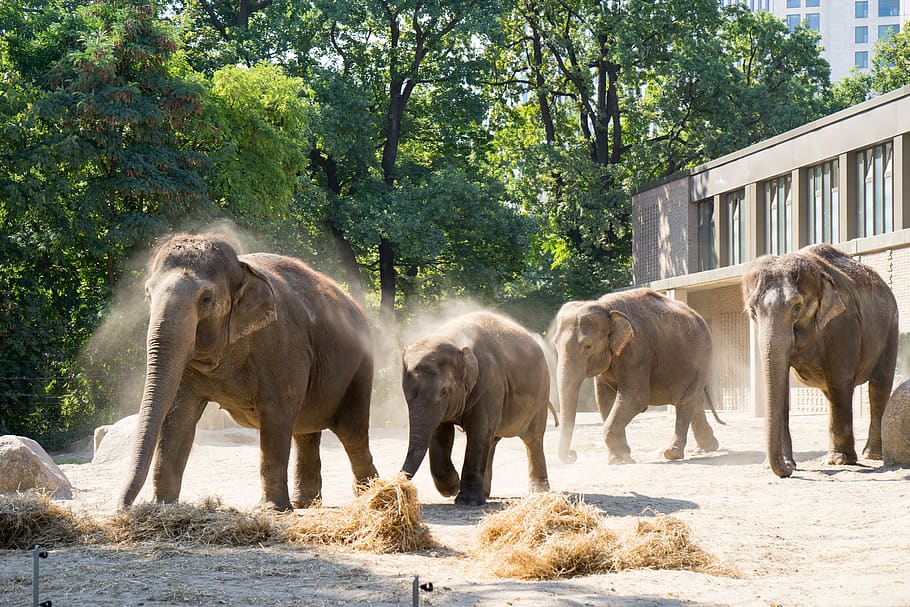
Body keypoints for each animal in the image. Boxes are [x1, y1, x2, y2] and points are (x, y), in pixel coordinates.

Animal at [118, 235, 382, 510]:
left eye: (206, 299)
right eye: (148, 294)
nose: (123, 508)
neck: (242, 268)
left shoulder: (282, 346)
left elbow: (276, 414)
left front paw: (271, 510)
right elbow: (178, 417)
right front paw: (162, 506)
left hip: (360, 369)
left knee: (352, 433)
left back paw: (373, 497)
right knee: (305, 431)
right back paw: (306, 504)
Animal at [400, 312, 556, 506]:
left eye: (444, 392)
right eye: (405, 392)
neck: (453, 339)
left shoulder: (490, 383)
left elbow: (478, 430)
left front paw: (467, 501)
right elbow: (441, 434)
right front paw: (453, 488)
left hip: (542, 394)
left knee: (533, 439)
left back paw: (539, 491)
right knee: (492, 441)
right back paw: (485, 493)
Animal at [552, 290, 724, 466]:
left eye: (588, 346)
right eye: (555, 344)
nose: (573, 455)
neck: (605, 307)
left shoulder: (636, 350)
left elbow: (635, 398)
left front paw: (622, 460)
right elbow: (603, 399)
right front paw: (618, 459)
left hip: (702, 358)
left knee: (686, 401)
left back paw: (672, 453)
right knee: (694, 400)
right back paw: (706, 448)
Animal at [744, 245, 900, 478]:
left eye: (797, 307)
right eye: (752, 310)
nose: (788, 470)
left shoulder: (843, 324)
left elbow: (840, 379)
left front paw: (839, 461)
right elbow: (782, 386)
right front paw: (784, 463)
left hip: (891, 328)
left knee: (879, 386)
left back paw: (872, 455)